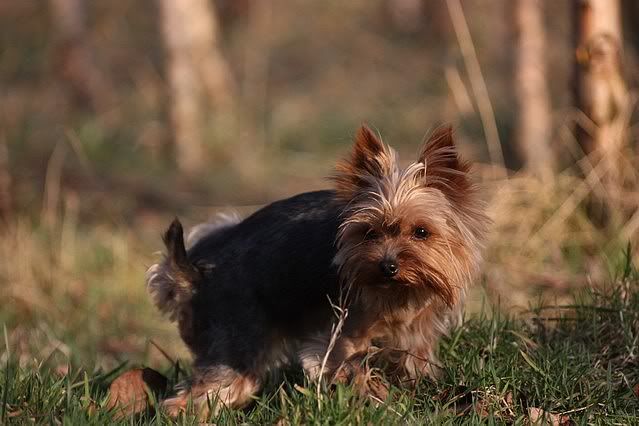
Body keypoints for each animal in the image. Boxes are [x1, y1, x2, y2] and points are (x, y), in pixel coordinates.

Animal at [146, 125, 488, 417]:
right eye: (369, 233)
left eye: (421, 232)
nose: (388, 265)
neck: (399, 291)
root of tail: (195, 272)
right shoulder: (341, 336)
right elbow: (348, 366)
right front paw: (375, 399)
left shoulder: (415, 332)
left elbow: (412, 362)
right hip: (235, 338)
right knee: (199, 394)